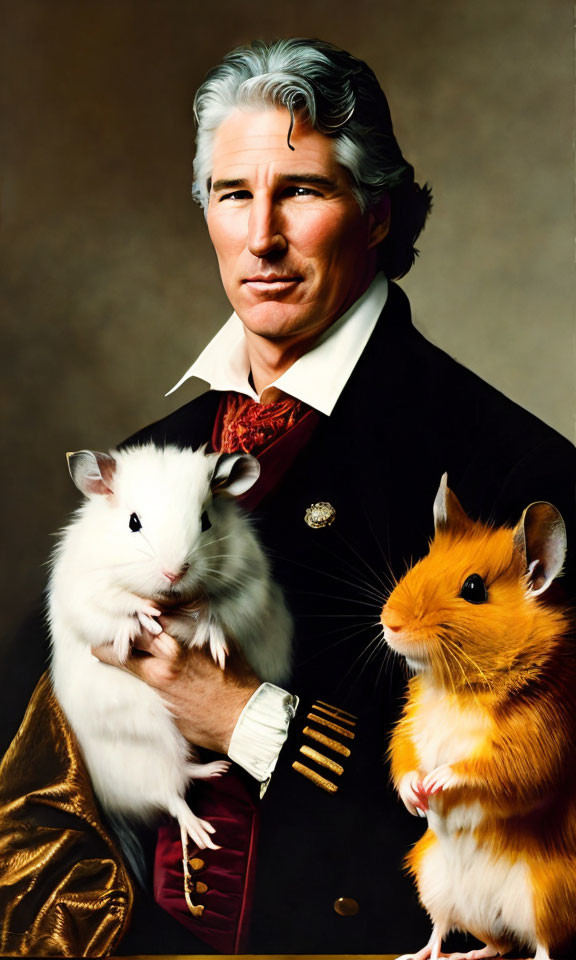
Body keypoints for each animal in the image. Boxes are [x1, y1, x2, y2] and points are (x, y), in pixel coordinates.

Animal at [382, 472, 576, 960]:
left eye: (473, 589)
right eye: (420, 565)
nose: (389, 623)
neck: (458, 689)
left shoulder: (536, 747)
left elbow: (482, 769)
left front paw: (435, 785)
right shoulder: (408, 729)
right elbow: (404, 762)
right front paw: (416, 798)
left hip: (546, 896)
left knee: (540, 945)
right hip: (432, 878)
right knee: (464, 934)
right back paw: (434, 954)